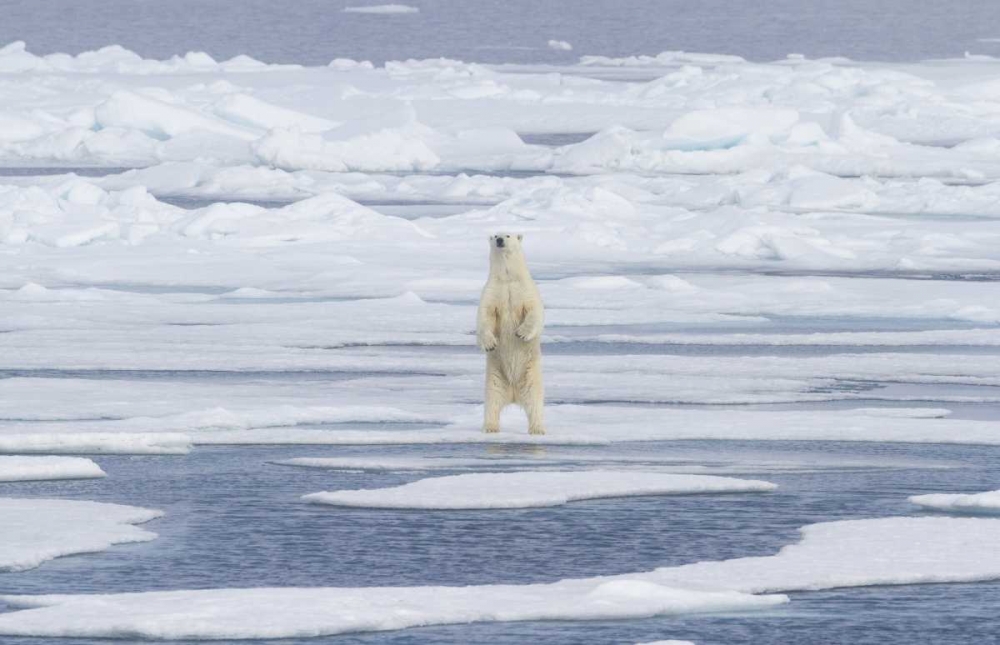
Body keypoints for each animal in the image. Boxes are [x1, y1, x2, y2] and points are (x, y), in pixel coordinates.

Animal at [476, 230, 548, 432]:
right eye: (494, 235)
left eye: (507, 235)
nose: (500, 240)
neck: (507, 278)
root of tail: (514, 395)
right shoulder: (492, 291)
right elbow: (485, 315)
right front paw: (490, 344)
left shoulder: (525, 289)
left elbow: (534, 311)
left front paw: (521, 333)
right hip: (495, 378)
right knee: (492, 402)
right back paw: (490, 427)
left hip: (531, 375)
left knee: (535, 402)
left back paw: (537, 428)